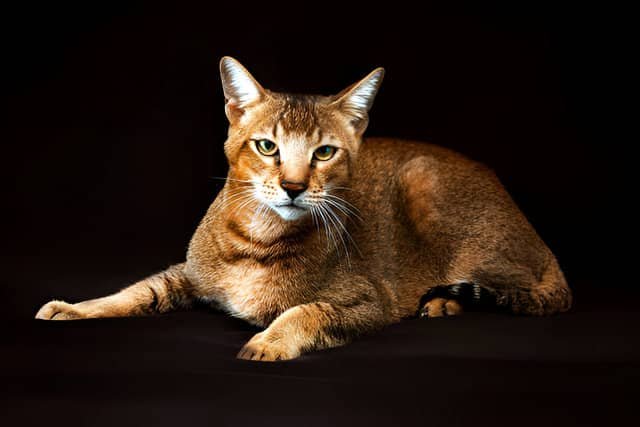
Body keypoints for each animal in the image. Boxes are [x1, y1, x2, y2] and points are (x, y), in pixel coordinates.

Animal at [37, 56, 572, 362]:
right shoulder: (187, 274)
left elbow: (306, 310)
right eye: (267, 146)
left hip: (431, 189)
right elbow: (134, 291)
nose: (293, 187)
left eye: (325, 153)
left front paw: (270, 341)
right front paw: (74, 308)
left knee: (514, 286)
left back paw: (445, 300)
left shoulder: (369, 301)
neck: (257, 240)